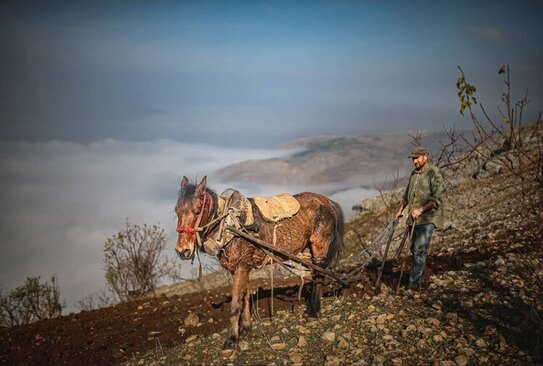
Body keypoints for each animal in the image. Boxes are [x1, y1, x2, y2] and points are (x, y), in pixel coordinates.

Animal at [174, 176, 344, 350]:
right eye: (176, 210)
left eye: (197, 210)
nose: (182, 251)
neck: (229, 225)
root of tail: (328, 201)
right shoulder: (240, 268)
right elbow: (245, 296)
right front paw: (245, 326)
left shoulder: (242, 266)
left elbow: (235, 303)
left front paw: (231, 340)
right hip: (307, 251)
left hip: (320, 246)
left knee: (320, 276)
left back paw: (313, 312)